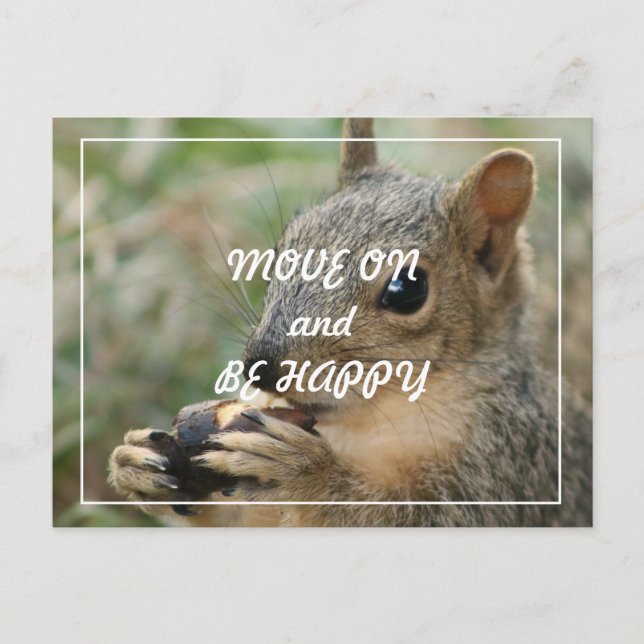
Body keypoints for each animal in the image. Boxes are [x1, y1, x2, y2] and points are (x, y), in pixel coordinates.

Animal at [108, 118, 592, 527]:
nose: (261, 367)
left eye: (408, 288)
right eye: (282, 250)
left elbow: (411, 516)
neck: (367, 426)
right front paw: (135, 461)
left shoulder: (506, 469)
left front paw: (307, 474)